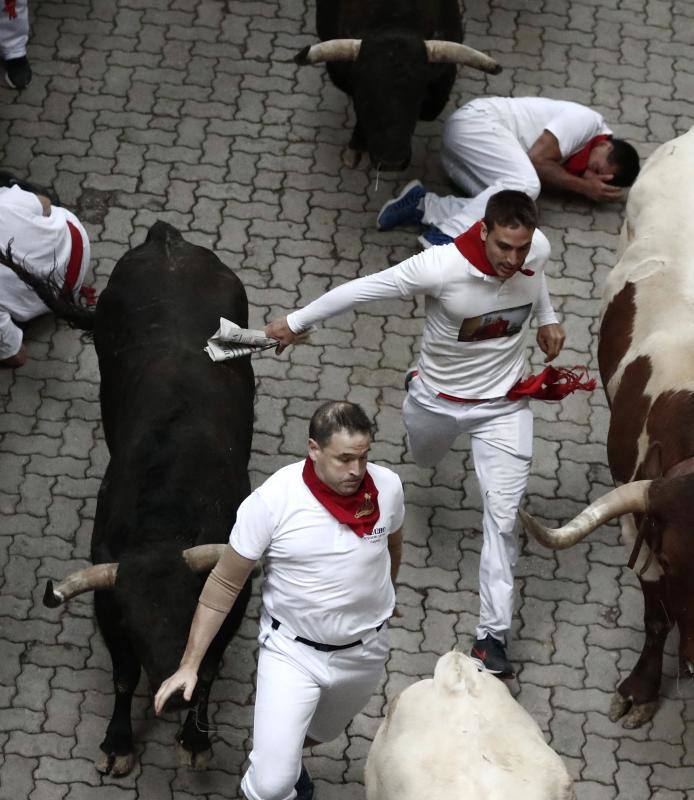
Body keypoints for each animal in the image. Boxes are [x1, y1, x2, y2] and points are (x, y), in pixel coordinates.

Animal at [40, 220, 256, 776]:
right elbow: (123, 675)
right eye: (137, 623)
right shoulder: (109, 609)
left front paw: (195, 738)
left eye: (191, 611)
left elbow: (209, 668)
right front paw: (118, 742)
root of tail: (166, 239)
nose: (174, 696)